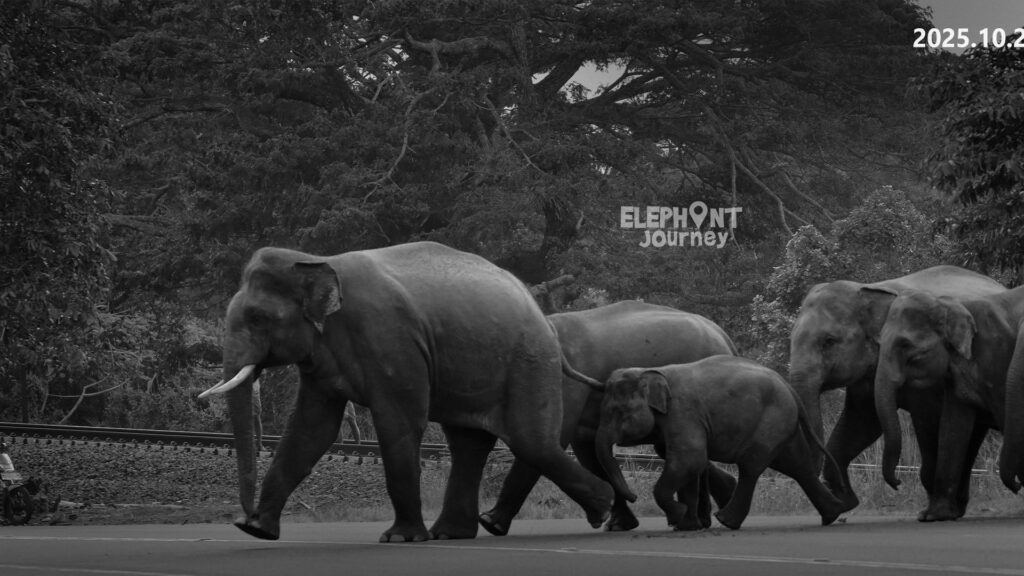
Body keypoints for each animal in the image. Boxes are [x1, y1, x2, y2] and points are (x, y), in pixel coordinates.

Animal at [197, 241, 613, 542]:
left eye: (257, 318)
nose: (242, 514)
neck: (317, 261)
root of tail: (540, 312)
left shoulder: (391, 339)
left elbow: (400, 422)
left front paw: (399, 539)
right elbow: (312, 429)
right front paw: (257, 531)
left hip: (528, 360)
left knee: (531, 441)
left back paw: (604, 510)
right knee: (470, 444)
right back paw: (451, 534)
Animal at [479, 301, 739, 535]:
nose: (635, 497)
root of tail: (724, 337)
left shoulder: (567, 382)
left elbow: (551, 439)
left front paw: (490, 523)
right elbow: (586, 450)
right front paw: (618, 524)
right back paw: (721, 501)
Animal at [583, 355, 846, 530]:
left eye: (619, 413)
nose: (635, 497)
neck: (651, 372)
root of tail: (790, 389)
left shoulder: (683, 413)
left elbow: (689, 458)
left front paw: (678, 516)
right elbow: (687, 464)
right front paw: (686, 525)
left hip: (771, 421)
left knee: (751, 467)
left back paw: (726, 521)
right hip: (782, 424)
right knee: (798, 466)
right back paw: (833, 515)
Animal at [788, 266, 1004, 519]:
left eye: (829, 341)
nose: (898, 482)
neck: (869, 289)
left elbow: (927, 419)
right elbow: (862, 423)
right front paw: (847, 502)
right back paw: (958, 507)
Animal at [874, 286, 1024, 514]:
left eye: (905, 345)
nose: (898, 483)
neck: (948, 304)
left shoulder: (997, 359)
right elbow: (952, 426)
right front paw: (933, 515)